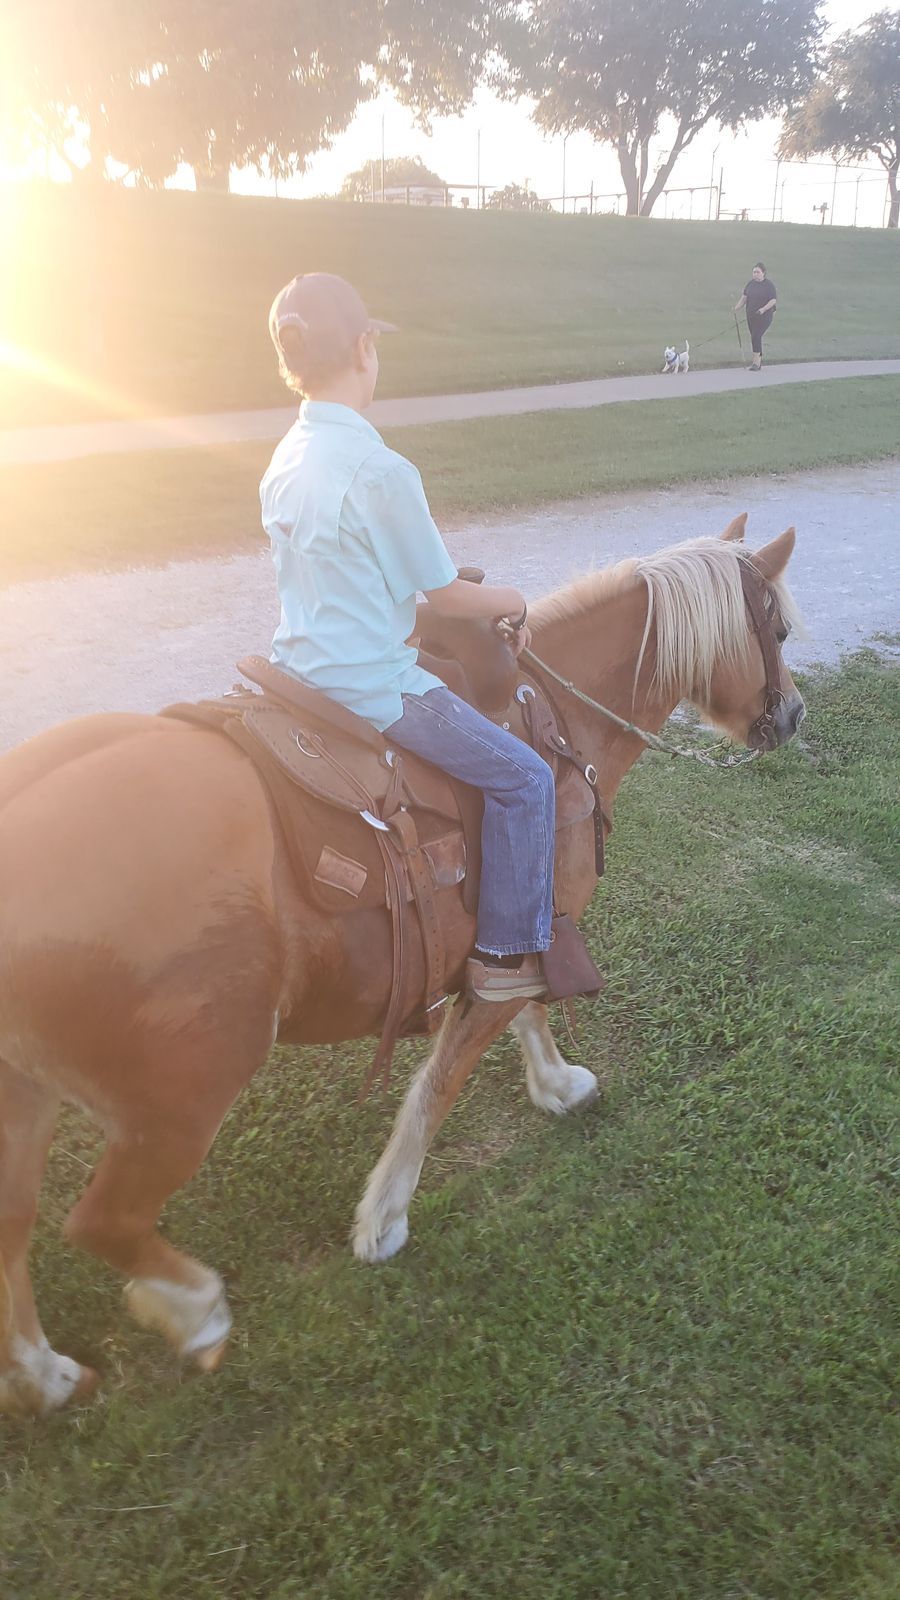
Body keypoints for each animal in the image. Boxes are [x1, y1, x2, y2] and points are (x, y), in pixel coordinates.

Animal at [0, 515, 804, 1417]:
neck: (557, 725)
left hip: (25, 1090)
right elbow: (441, 1081)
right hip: (183, 1098)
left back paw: (42, 1372)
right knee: (99, 1223)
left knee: (12, 1222)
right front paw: (383, 1218)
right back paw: (194, 1309)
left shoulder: (520, 925)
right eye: (777, 630)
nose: (793, 714)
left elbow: (524, 1010)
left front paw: (556, 1084)